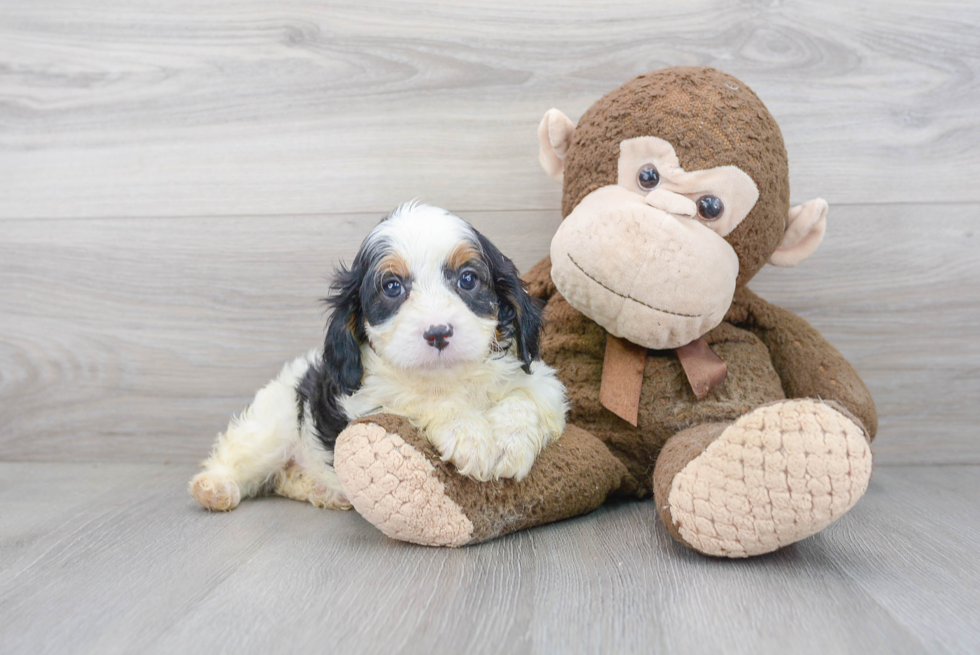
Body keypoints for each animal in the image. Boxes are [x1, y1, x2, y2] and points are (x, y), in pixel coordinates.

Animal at [190, 201, 568, 512]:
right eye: (392, 287)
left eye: (468, 279)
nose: (438, 333)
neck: (448, 376)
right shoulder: (368, 399)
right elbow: (423, 400)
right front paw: (469, 436)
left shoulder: (541, 381)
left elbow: (527, 397)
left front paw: (508, 443)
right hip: (271, 426)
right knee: (241, 455)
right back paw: (214, 487)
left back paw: (321, 490)